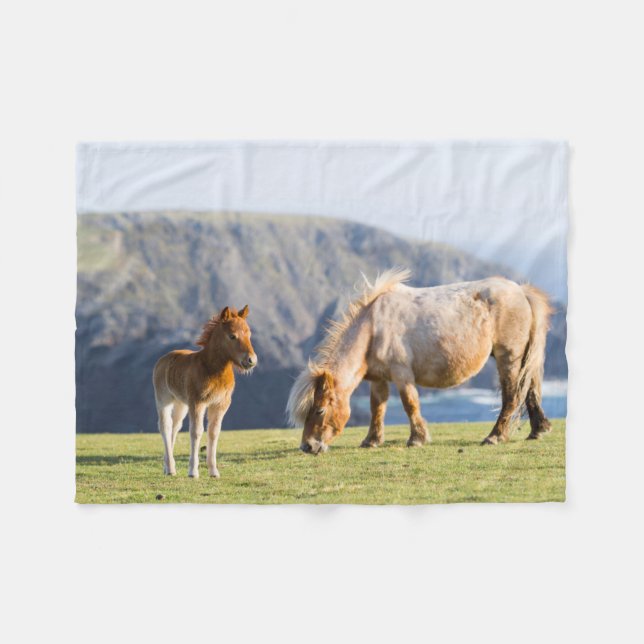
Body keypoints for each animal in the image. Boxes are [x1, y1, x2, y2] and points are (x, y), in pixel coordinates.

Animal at [152, 305, 257, 478]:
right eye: (232, 336)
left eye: (249, 334)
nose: (251, 360)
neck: (212, 369)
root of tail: (163, 359)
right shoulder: (198, 402)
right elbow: (196, 432)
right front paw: (193, 471)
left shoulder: (220, 404)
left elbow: (213, 432)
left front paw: (213, 471)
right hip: (163, 399)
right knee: (165, 426)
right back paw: (170, 468)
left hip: (181, 403)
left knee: (175, 426)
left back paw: (168, 467)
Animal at [287, 268, 553, 455]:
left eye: (320, 409)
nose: (307, 446)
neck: (373, 327)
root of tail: (520, 291)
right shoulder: (379, 379)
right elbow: (377, 407)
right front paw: (371, 441)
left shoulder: (402, 374)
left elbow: (410, 404)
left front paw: (417, 439)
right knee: (529, 389)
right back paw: (538, 430)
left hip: (508, 357)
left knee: (512, 395)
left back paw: (495, 436)